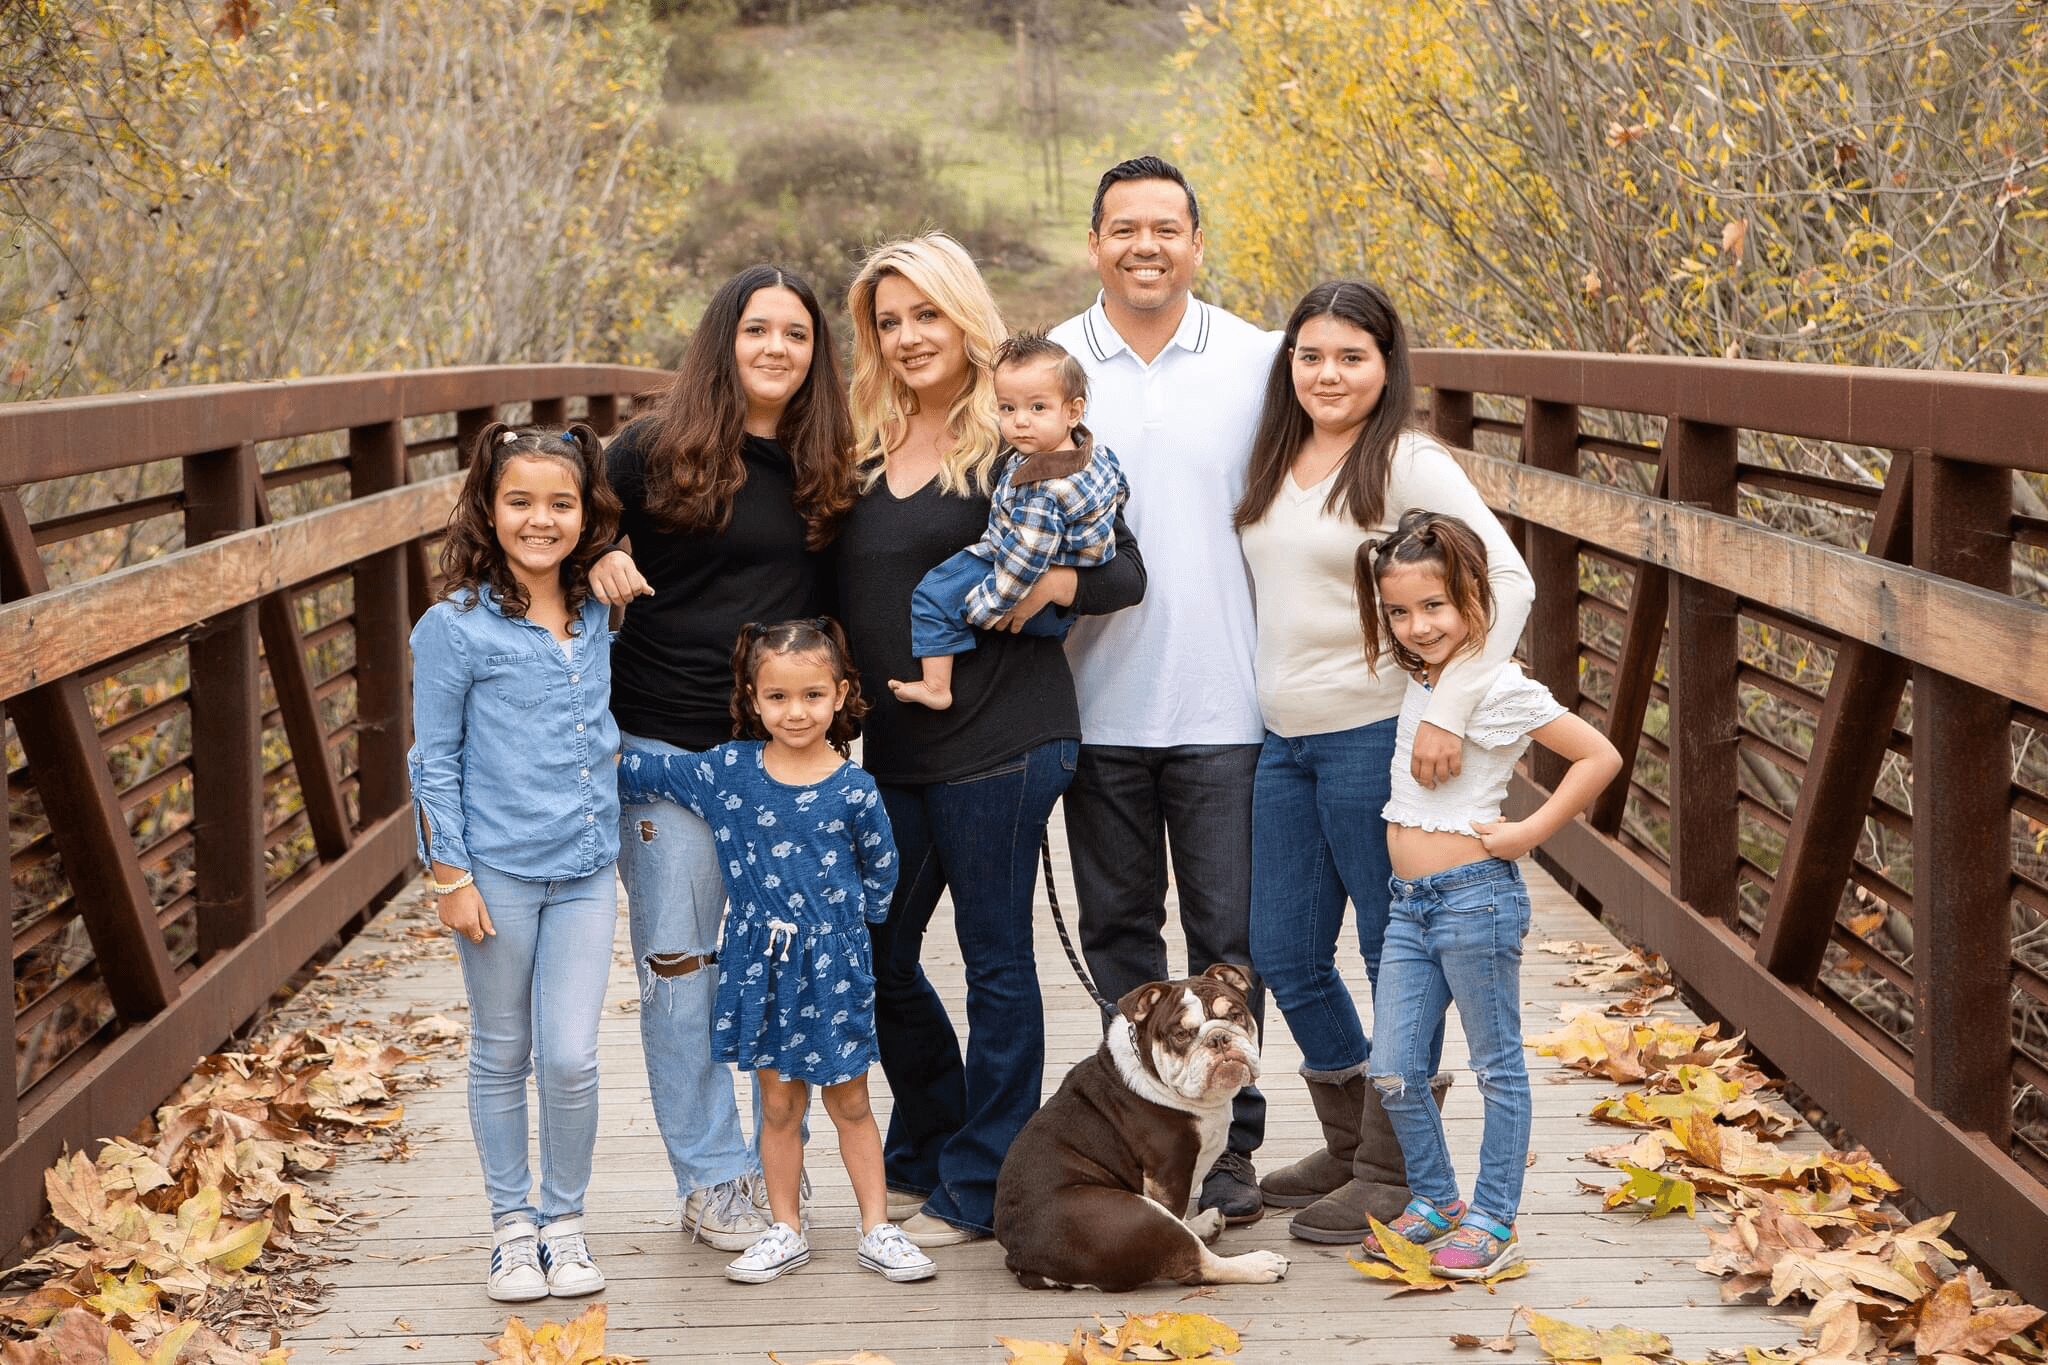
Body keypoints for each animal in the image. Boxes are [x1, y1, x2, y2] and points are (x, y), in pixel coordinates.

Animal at [993, 963, 1290, 1292]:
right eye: (1181, 1034)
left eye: (1235, 1015)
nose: (1219, 1038)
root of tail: (1022, 1258)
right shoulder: (1169, 1173)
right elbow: (1177, 1212)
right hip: (1138, 1215)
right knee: (1194, 1263)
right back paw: (1258, 1263)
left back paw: (1204, 1225)